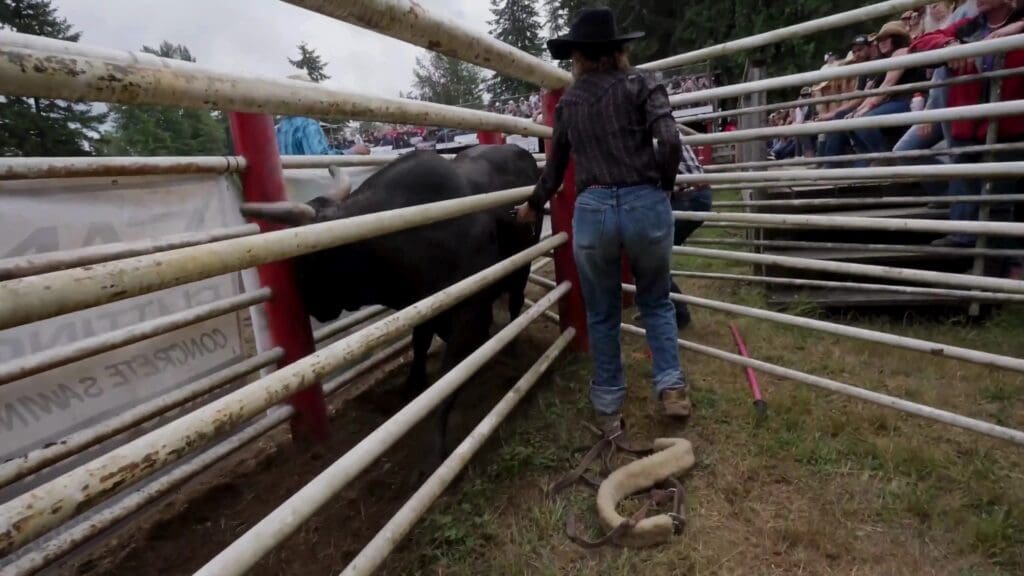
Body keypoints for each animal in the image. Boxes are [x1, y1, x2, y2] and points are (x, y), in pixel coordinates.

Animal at [242, 145, 540, 459]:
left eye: (305, 260)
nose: (312, 306)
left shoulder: (470, 313)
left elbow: (450, 375)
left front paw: (437, 442)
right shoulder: (423, 307)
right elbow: (420, 344)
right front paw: (411, 386)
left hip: (521, 268)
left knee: (516, 304)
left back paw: (513, 347)